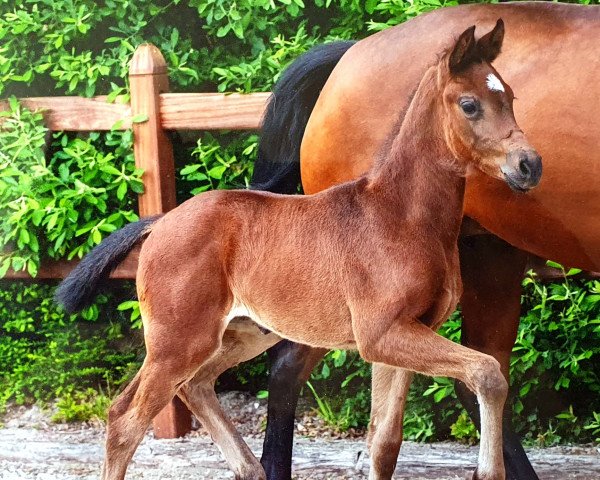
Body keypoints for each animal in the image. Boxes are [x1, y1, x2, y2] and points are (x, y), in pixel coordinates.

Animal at [62, 20, 544, 480]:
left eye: (511, 96)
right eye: (469, 104)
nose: (529, 164)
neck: (400, 216)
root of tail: (161, 222)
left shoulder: (402, 336)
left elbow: (384, 445)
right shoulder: (382, 334)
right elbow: (488, 373)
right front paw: (488, 470)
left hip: (240, 333)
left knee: (194, 386)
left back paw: (250, 468)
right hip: (177, 341)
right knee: (126, 418)